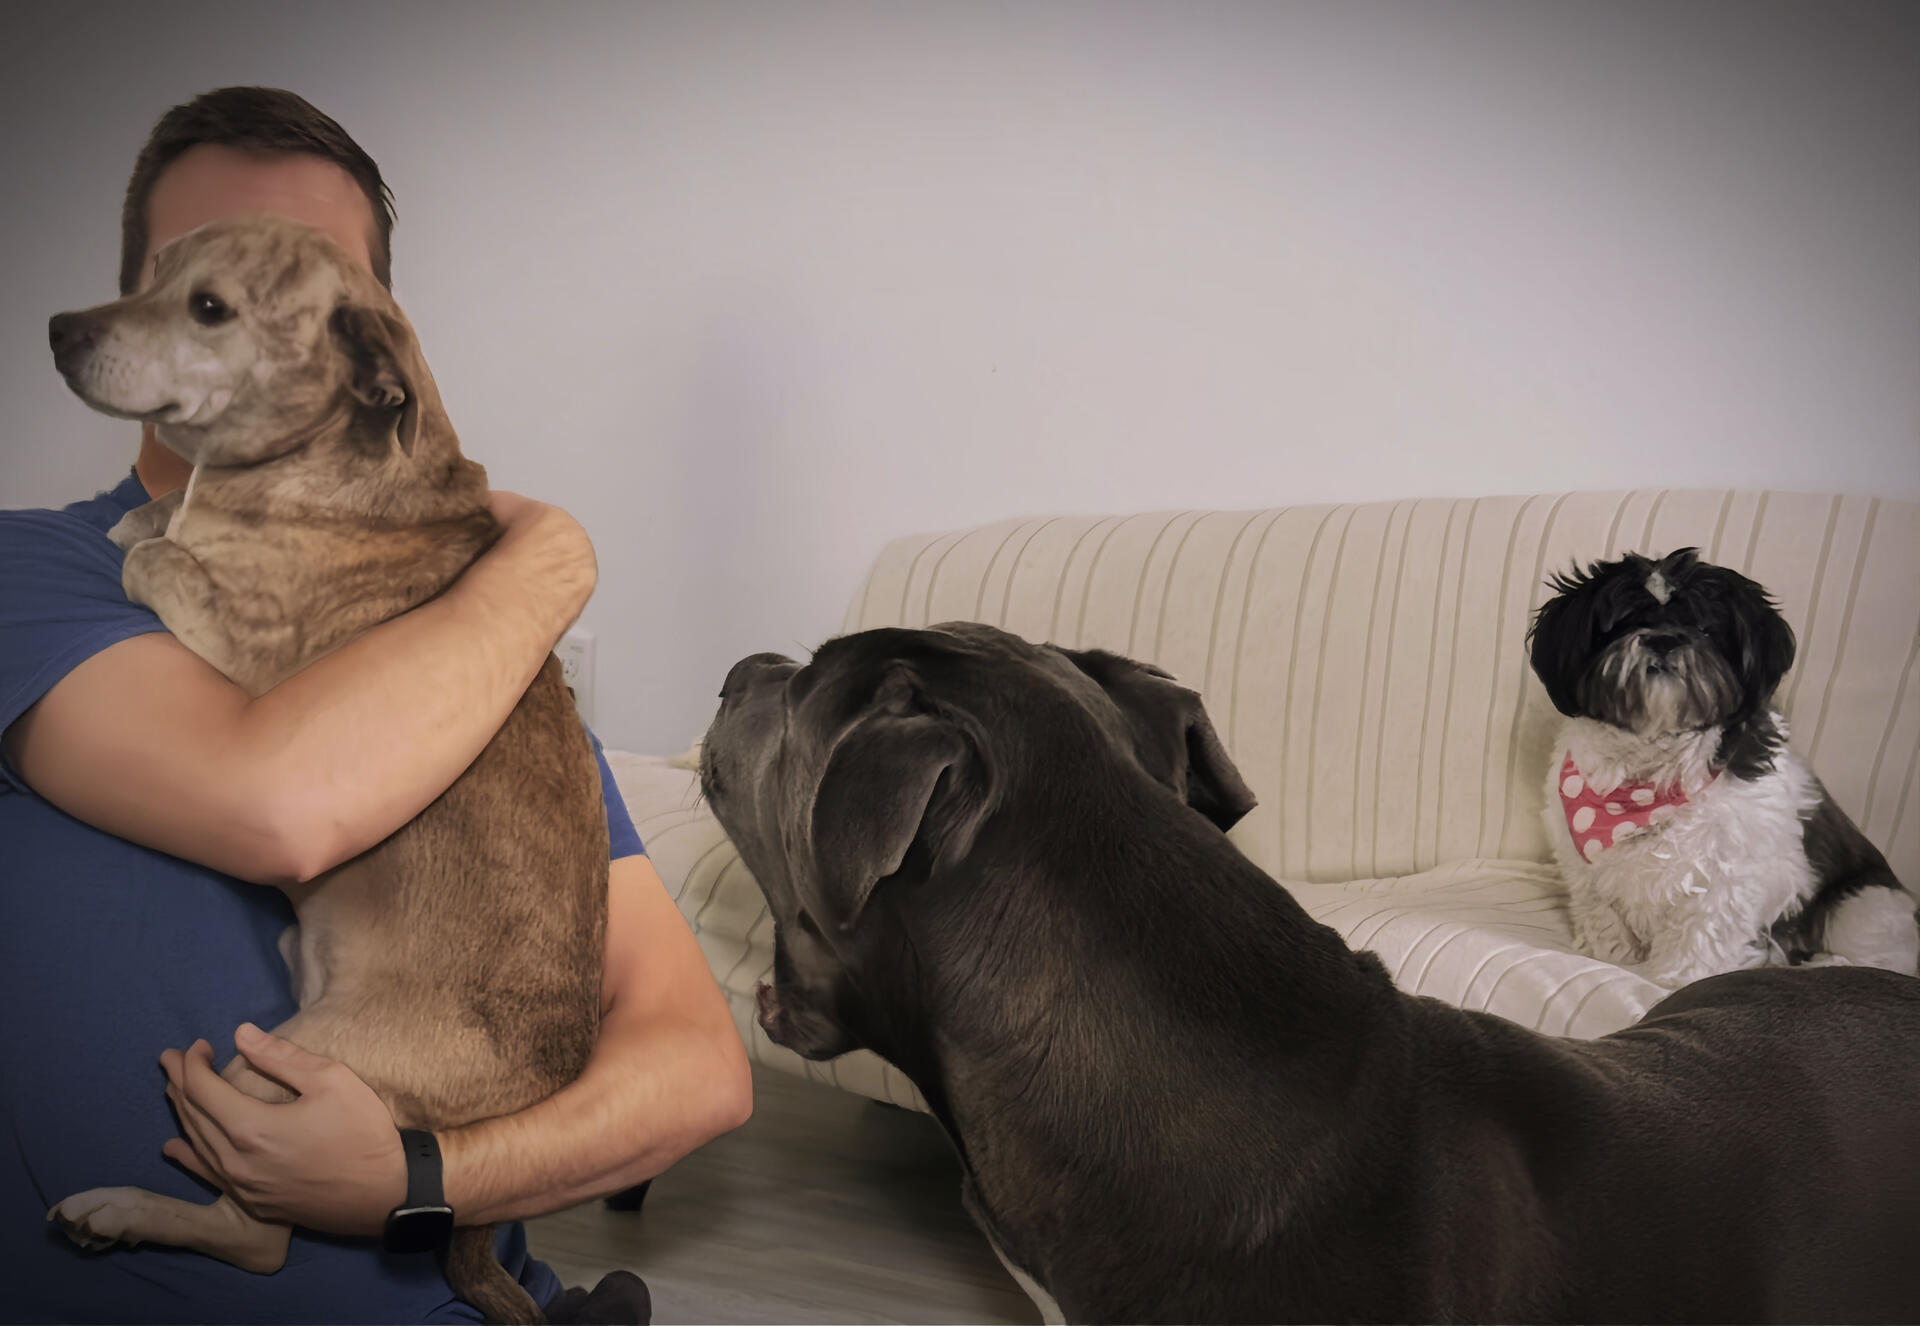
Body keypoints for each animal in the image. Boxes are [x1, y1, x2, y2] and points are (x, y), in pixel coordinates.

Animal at [1527, 547, 1918, 988]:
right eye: (1624, 621)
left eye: (1705, 628)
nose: (1663, 639)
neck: (1650, 777)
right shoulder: (1585, 868)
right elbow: (1603, 916)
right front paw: (1614, 955)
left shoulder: (1730, 877)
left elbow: (1702, 934)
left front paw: (1674, 978)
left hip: (1865, 904)